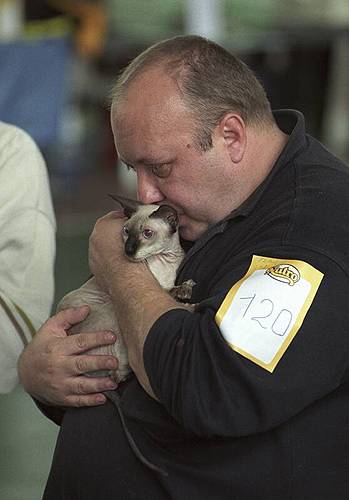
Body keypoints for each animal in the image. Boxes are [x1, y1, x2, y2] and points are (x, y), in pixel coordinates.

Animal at [57, 195, 193, 382]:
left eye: (147, 233)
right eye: (126, 231)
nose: (128, 250)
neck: (165, 261)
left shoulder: (167, 282)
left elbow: (174, 288)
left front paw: (186, 288)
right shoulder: (159, 287)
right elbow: (171, 293)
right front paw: (187, 295)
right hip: (112, 308)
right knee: (119, 371)